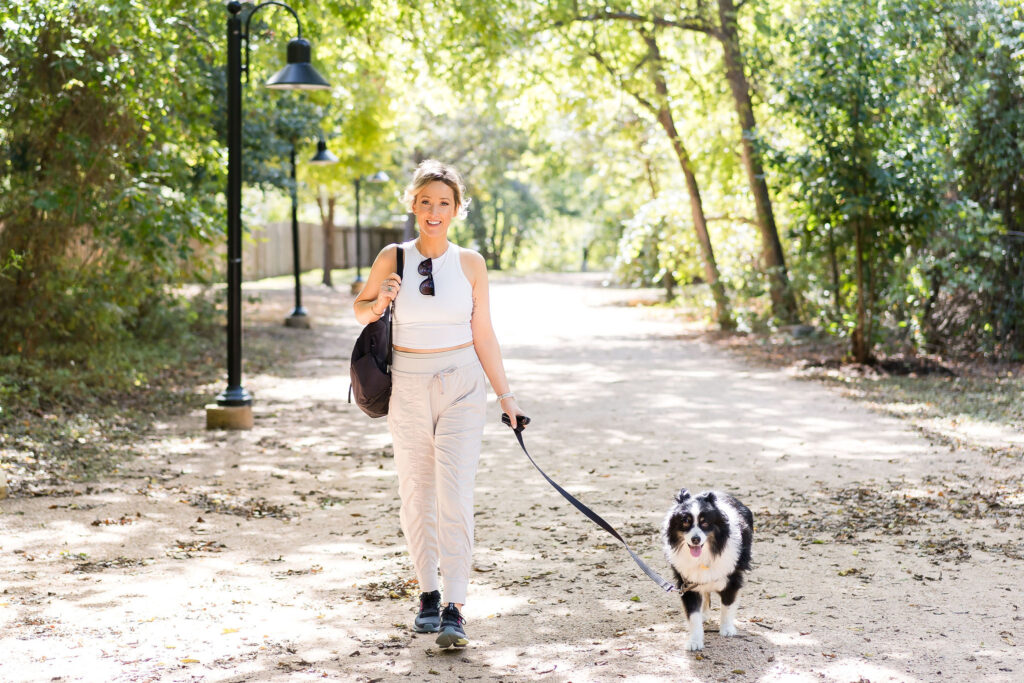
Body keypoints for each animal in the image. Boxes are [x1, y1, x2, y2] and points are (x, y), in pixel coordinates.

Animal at [663, 485, 753, 651]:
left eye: (705, 523)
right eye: (685, 522)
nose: (695, 539)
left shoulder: (732, 579)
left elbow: (727, 605)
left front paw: (727, 629)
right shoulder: (686, 584)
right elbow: (693, 615)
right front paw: (695, 641)